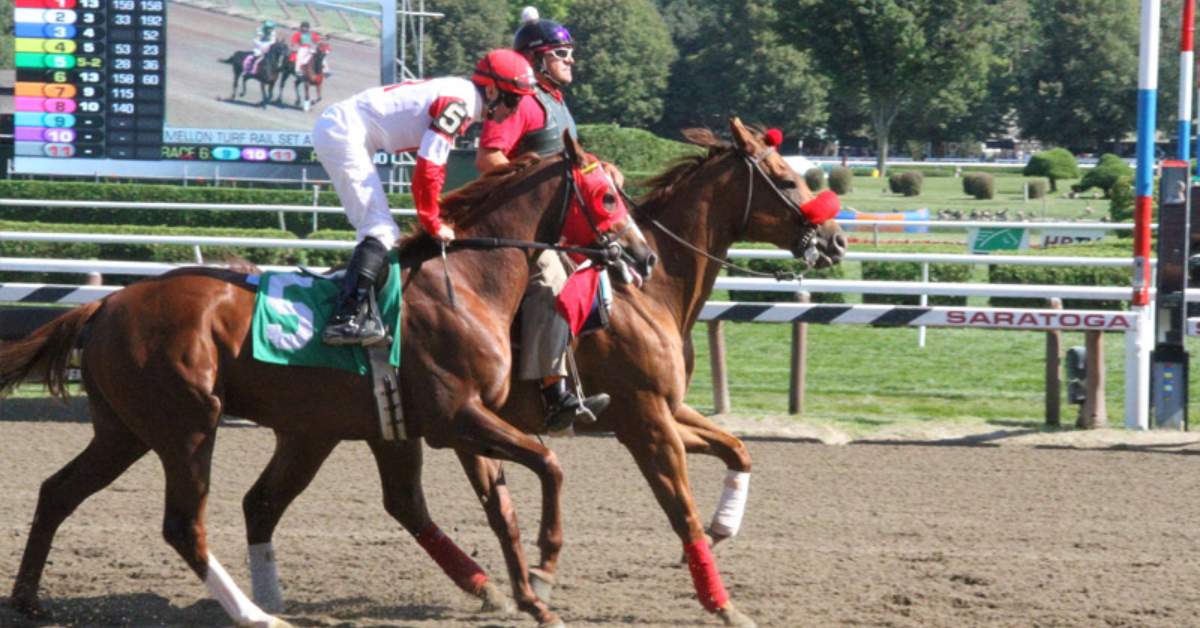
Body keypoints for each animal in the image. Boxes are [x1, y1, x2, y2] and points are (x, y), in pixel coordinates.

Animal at [2, 135, 657, 628]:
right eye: (606, 195)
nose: (643, 256)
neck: (466, 281)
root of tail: (106, 303)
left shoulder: (408, 427)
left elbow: (493, 508)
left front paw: (524, 597)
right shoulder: (454, 418)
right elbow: (549, 465)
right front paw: (545, 567)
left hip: (136, 431)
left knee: (61, 491)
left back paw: (28, 599)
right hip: (187, 425)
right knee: (184, 524)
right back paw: (256, 614)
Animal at [238, 119, 849, 628]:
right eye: (787, 179)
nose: (837, 240)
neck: (649, 289)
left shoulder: (662, 410)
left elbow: (737, 449)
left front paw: (725, 525)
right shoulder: (646, 419)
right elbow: (681, 509)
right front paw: (722, 603)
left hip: (359, 427)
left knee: (374, 502)